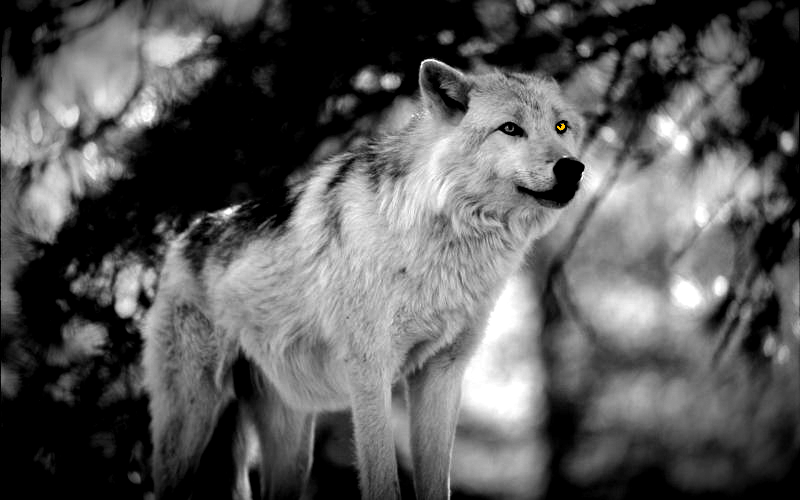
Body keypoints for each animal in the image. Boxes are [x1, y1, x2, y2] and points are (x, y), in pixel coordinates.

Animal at [142, 59, 585, 500]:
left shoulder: (441, 374)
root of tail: (182, 237)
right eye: (510, 128)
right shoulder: (370, 371)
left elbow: (436, 484)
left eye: (560, 126)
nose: (573, 167)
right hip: (190, 428)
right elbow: (383, 480)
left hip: (291, 445)